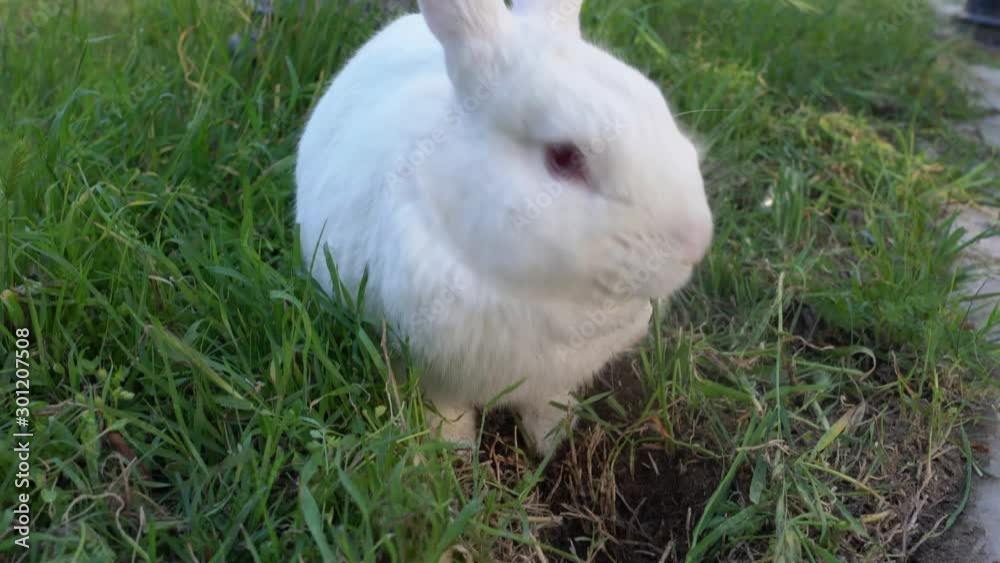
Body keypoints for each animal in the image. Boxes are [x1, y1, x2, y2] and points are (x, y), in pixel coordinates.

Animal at [295, 0, 713, 456]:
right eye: (564, 157)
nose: (696, 242)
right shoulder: (428, 367)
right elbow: (444, 406)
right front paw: (454, 447)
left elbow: (543, 401)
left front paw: (554, 436)